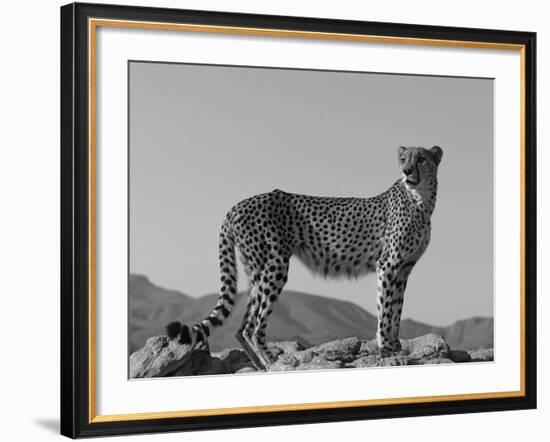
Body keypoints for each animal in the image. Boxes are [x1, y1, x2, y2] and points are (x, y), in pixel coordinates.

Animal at [167, 147, 444, 372]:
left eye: (421, 159)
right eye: (403, 159)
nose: (407, 171)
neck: (421, 201)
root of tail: (238, 205)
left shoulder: (403, 269)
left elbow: (396, 308)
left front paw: (395, 345)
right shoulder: (387, 266)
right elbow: (386, 309)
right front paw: (386, 347)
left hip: (256, 270)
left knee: (242, 327)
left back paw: (260, 366)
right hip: (275, 266)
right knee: (253, 327)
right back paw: (272, 362)